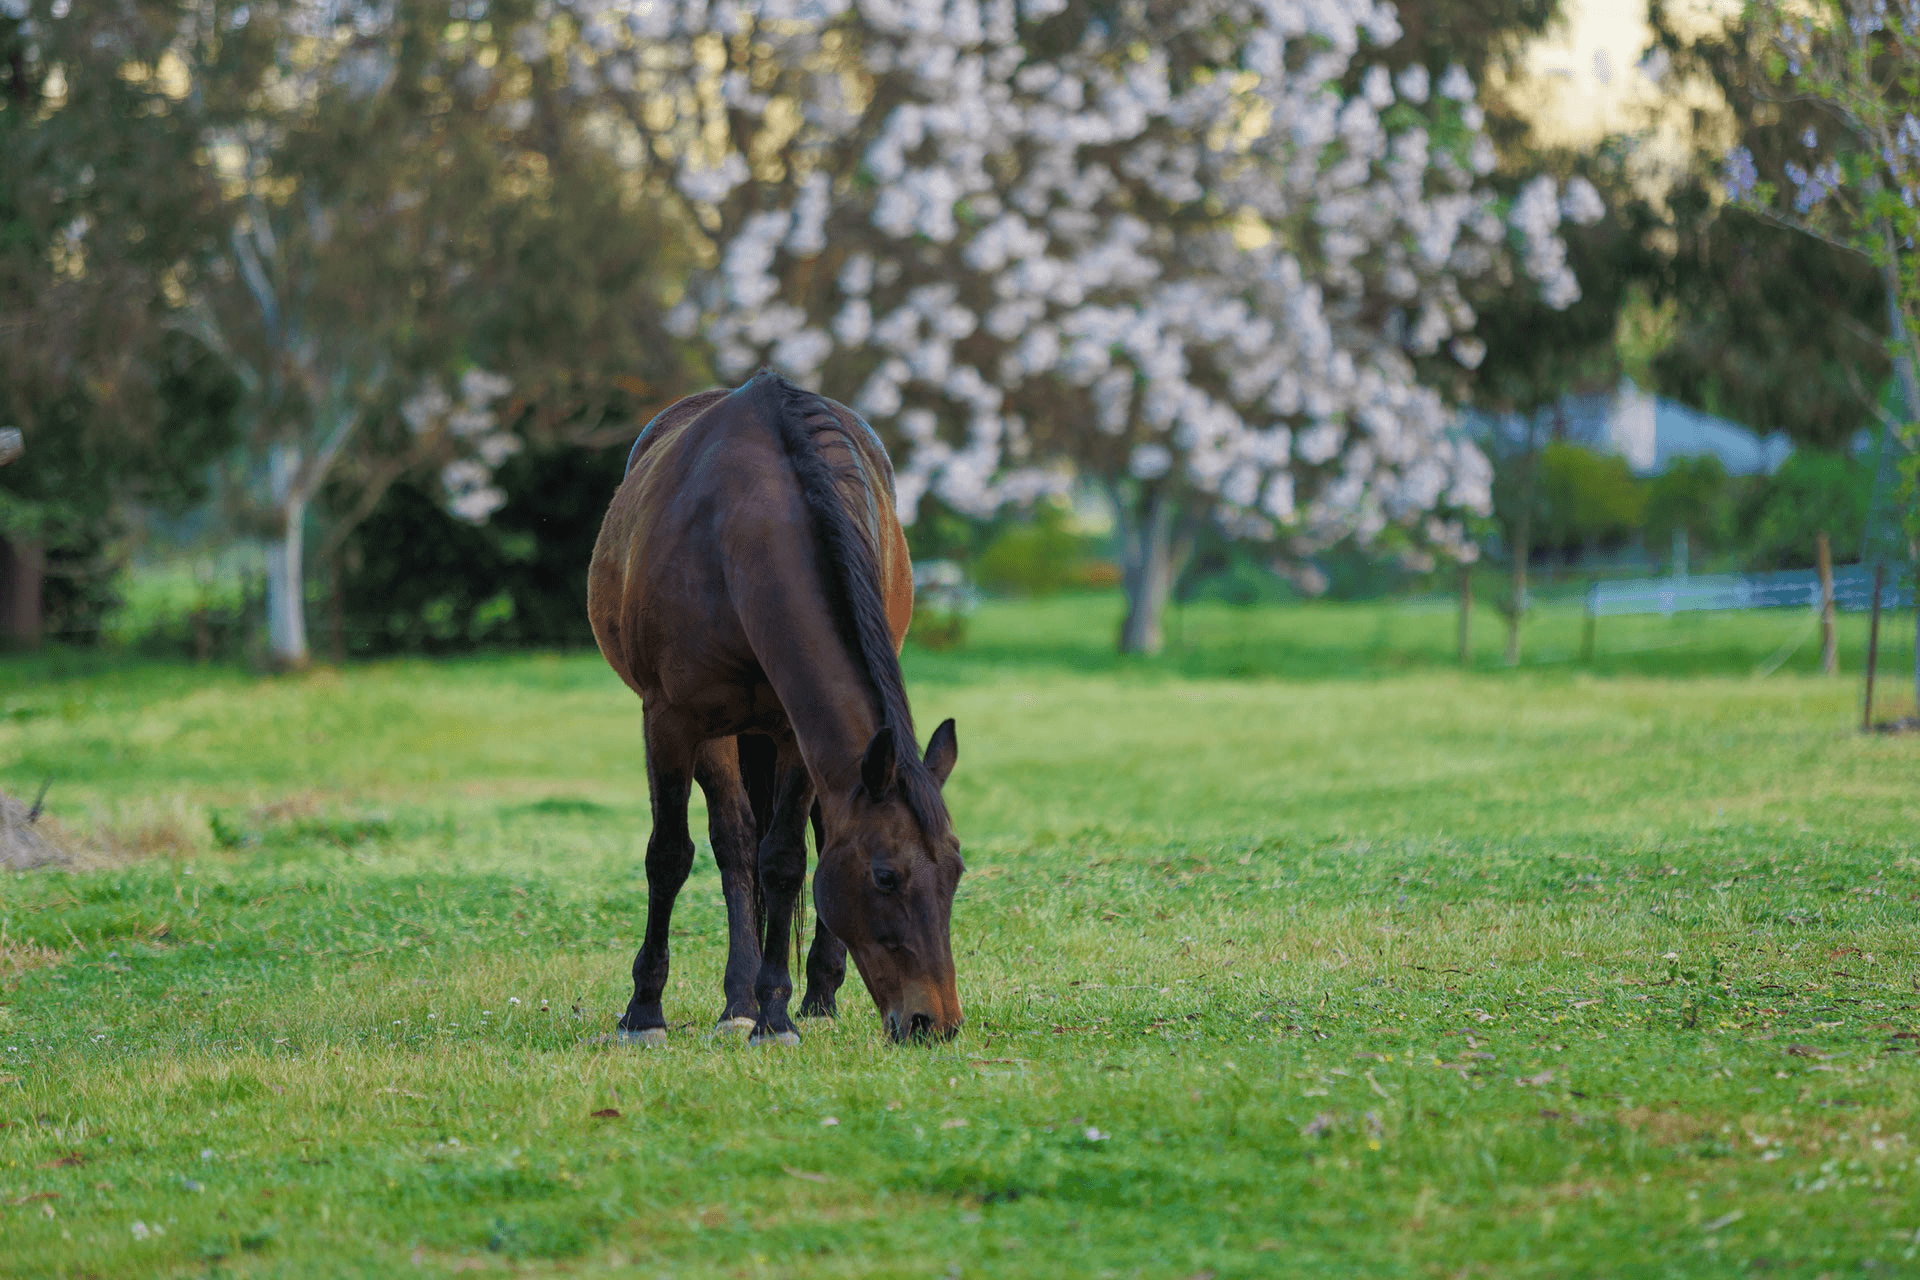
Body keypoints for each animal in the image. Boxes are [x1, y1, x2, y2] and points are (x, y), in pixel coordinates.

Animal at [583, 364, 967, 1043]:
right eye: (885, 876)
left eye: (956, 872)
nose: (934, 1023)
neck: (742, 531)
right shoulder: (673, 720)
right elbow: (671, 855)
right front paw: (645, 1011)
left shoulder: (793, 729)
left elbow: (786, 860)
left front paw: (778, 1014)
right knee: (732, 843)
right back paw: (735, 1000)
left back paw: (815, 994)